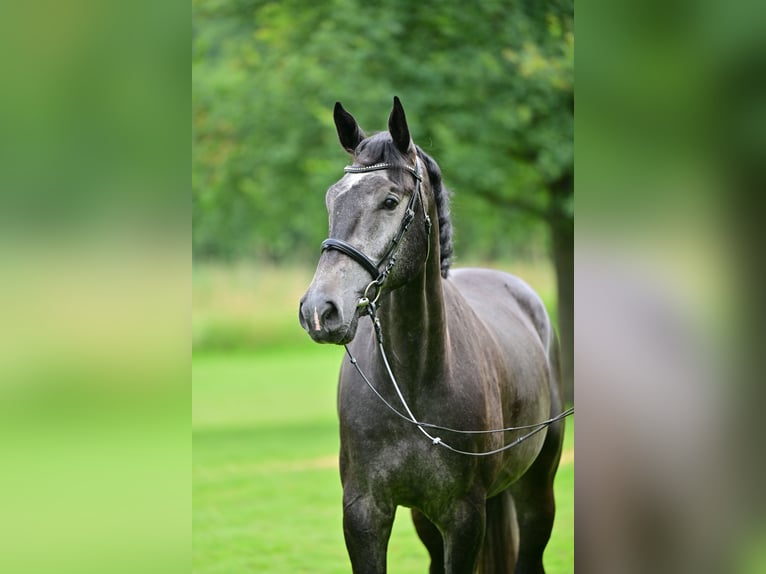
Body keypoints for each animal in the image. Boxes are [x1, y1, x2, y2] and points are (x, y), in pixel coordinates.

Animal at [300, 97, 568, 572]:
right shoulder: (365, 514)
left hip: (537, 491)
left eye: (390, 201)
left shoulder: (464, 517)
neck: (411, 382)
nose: (319, 310)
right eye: (332, 198)